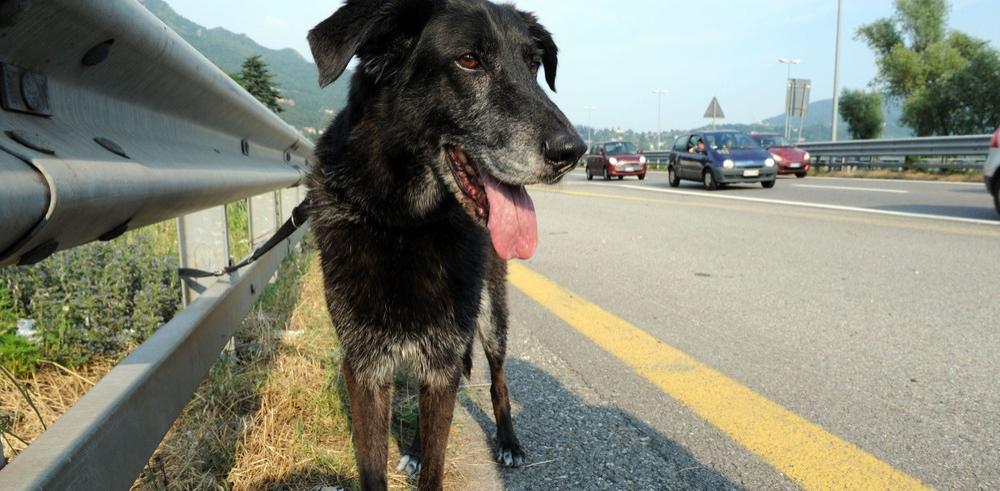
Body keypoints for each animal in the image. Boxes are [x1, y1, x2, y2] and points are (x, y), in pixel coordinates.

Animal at [304, 1, 584, 490]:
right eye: (468, 60)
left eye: (533, 64)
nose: (574, 151)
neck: (406, 224)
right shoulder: (366, 367)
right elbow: (373, 466)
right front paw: (414, 455)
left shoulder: (442, 361)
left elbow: (436, 468)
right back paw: (416, 449)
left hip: (491, 316)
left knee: (498, 379)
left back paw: (508, 441)